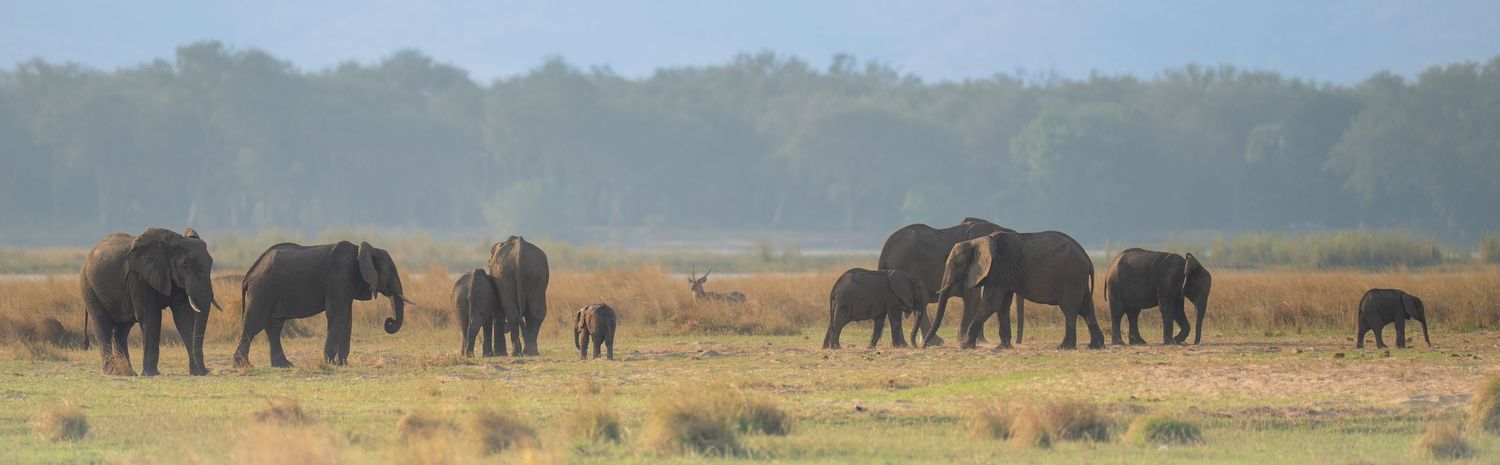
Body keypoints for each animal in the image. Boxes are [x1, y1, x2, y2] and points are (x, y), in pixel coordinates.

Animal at [79, 227, 218, 376]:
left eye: (211, 263)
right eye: (185, 266)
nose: (207, 371)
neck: (173, 242)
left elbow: (183, 318)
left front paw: (196, 373)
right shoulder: (139, 278)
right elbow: (150, 317)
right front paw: (151, 374)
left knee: (122, 330)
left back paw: (129, 372)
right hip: (88, 287)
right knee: (102, 325)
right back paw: (113, 372)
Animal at [234, 241, 409, 367]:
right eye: (391, 272)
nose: (388, 321)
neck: (362, 250)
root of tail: (249, 274)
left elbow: (346, 318)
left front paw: (343, 365)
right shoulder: (340, 276)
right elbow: (337, 315)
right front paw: (331, 363)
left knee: (274, 327)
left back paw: (284, 365)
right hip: (263, 290)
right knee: (253, 324)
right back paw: (243, 365)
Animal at [878, 217, 1022, 346]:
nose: (1018, 341)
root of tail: (884, 250)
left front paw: (979, 341)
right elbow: (973, 298)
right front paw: (969, 340)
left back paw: (903, 344)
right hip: (907, 267)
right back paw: (934, 342)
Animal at [926, 230, 1104, 350]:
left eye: (957, 264)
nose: (924, 345)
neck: (976, 242)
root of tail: (1088, 259)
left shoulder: (999, 268)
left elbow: (991, 304)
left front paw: (965, 346)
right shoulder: (1003, 276)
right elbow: (1002, 306)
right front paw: (1003, 347)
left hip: (1071, 276)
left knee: (1070, 309)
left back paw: (1065, 347)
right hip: (1078, 278)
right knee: (1086, 308)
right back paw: (1095, 346)